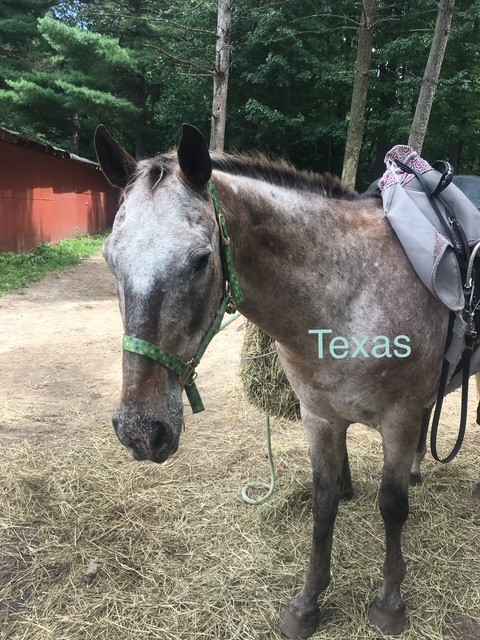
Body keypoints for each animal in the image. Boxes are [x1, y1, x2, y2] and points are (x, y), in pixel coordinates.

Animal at [95, 123, 466, 637]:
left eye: (201, 259)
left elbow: (392, 507)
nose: (140, 432)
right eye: (110, 258)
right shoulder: (321, 418)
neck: (349, 292)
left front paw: (389, 603)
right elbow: (324, 504)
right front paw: (308, 603)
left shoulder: (399, 419)